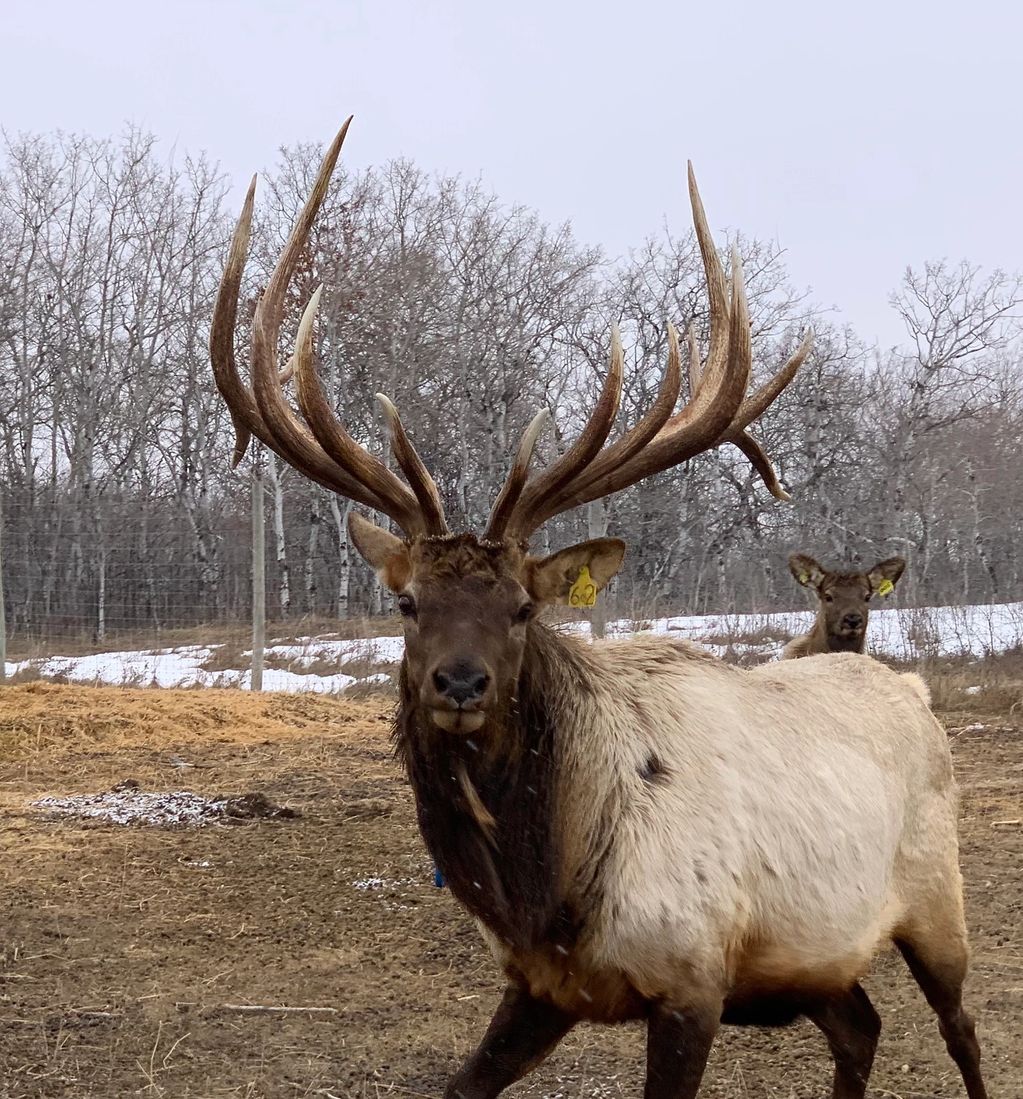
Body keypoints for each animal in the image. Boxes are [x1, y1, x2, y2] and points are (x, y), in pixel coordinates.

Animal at [212, 115, 988, 1094]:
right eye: (407, 603)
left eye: (521, 607)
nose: (457, 684)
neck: (551, 888)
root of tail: (910, 689)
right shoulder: (542, 985)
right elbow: (462, 1082)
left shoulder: (692, 980)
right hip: (812, 956)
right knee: (860, 1025)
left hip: (935, 896)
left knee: (960, 1028)